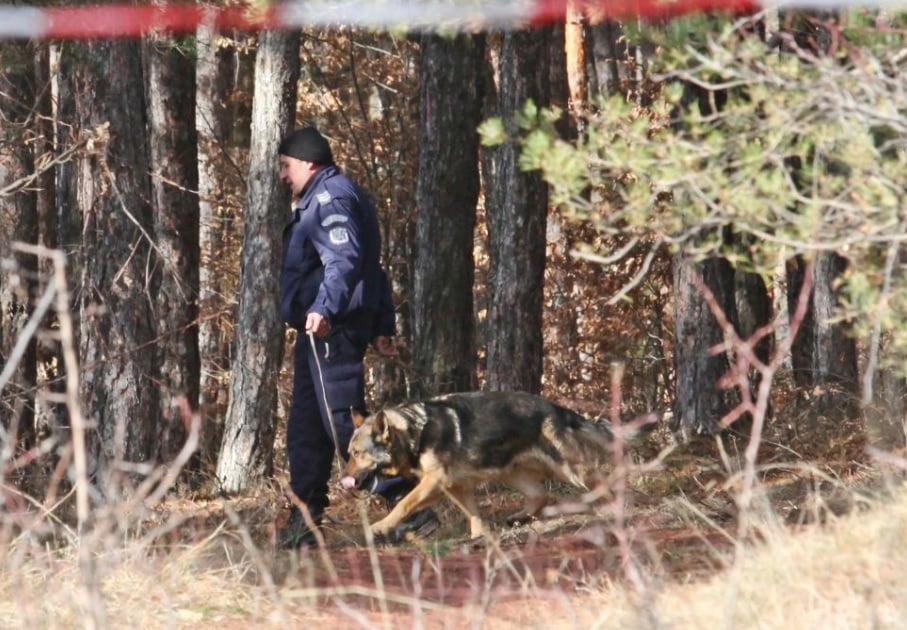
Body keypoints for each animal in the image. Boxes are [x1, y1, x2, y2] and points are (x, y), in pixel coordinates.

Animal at [340, 392, 644, 540]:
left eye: (357, 453)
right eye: (349, 453)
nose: (342, 481)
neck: (413, 432)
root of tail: (557, 408)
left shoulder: (434, 482)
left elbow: (404, 504)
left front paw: (381, 527)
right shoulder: (456, 487)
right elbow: (472, 513)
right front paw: (479, 537)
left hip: (571, 469)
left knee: (603, 482)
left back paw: (618, 507)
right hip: (510, 472)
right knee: (540, 494)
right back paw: (520, 517)